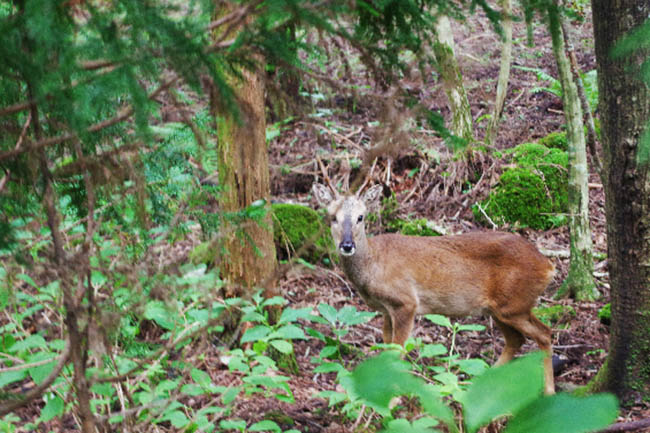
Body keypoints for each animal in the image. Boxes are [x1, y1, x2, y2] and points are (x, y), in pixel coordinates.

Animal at [312, 181, 556, 394]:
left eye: (360, 217)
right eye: (332, 217)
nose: (347, 245)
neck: (373, 264)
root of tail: (548, 266)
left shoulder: (406, 302)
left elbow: (398, 353)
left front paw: (393, 400)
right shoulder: (385, 310)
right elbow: (387, 348)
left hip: (513, 304)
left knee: (544, 333)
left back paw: (549, 391)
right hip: (500, 308)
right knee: (517, 339)